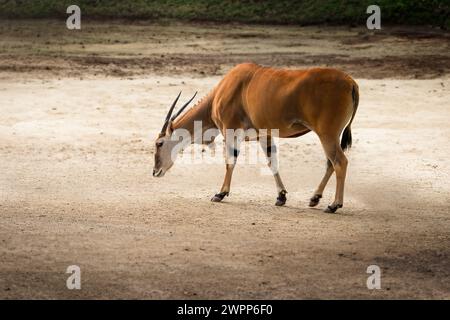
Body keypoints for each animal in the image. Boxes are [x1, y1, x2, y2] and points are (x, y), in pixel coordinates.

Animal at [152, 62, 358, 212]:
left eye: (159, 143)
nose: (155, 172)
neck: (222, 91)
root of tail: (351, 83)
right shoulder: (264, 135)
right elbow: (272, 162)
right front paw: (281, 196)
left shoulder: (231, 131)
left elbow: (230, 161)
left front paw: (220, 194)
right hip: (329, 136)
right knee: (331, 163)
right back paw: (315, 199)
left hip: (327, 135)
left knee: (340, 161)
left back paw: (334, 205)